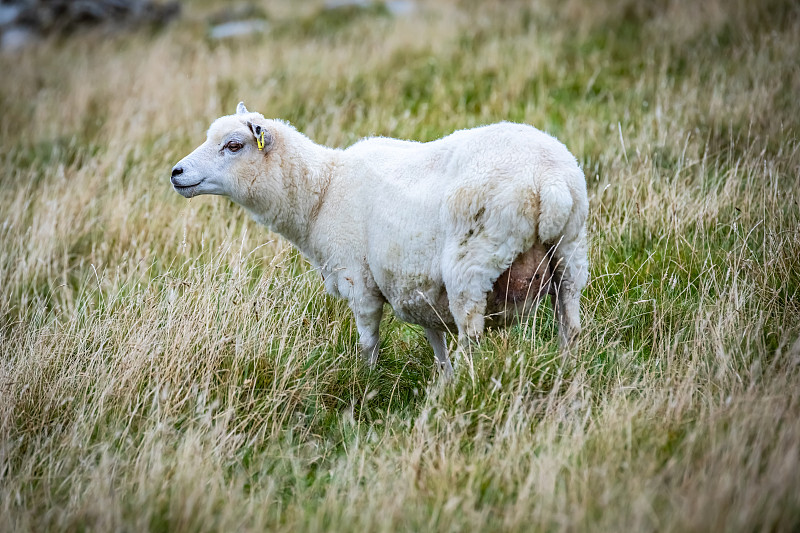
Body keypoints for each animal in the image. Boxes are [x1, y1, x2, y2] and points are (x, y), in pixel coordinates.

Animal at [172, 104, 588, 376]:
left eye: (234, 145)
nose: (176, 173)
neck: (321, 192)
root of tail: (550, 180)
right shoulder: (414, 285)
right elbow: (436, 342)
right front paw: (442, 382)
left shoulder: (360, 281)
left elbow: (369, 343)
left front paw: (367, 386)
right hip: (570, 254)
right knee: (570, 327)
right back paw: (567, 375)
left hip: (472, 265)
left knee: (472, 339)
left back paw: (469, 388)